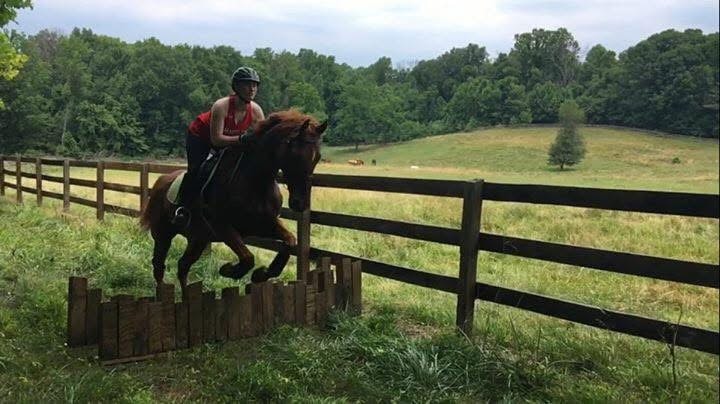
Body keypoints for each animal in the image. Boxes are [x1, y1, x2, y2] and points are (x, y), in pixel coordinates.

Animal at [140, 109, 326, 290]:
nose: (300, 203)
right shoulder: (221, 225)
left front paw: (263, 274)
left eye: (317, 157)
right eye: (296, 155)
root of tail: (162, 180)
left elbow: (290, 242)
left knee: (183, 266)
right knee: (159, 265)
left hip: (198, 238)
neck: (256, 181)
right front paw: (229, 270)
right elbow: (247, 258)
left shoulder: (263, 224)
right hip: (163, 233)